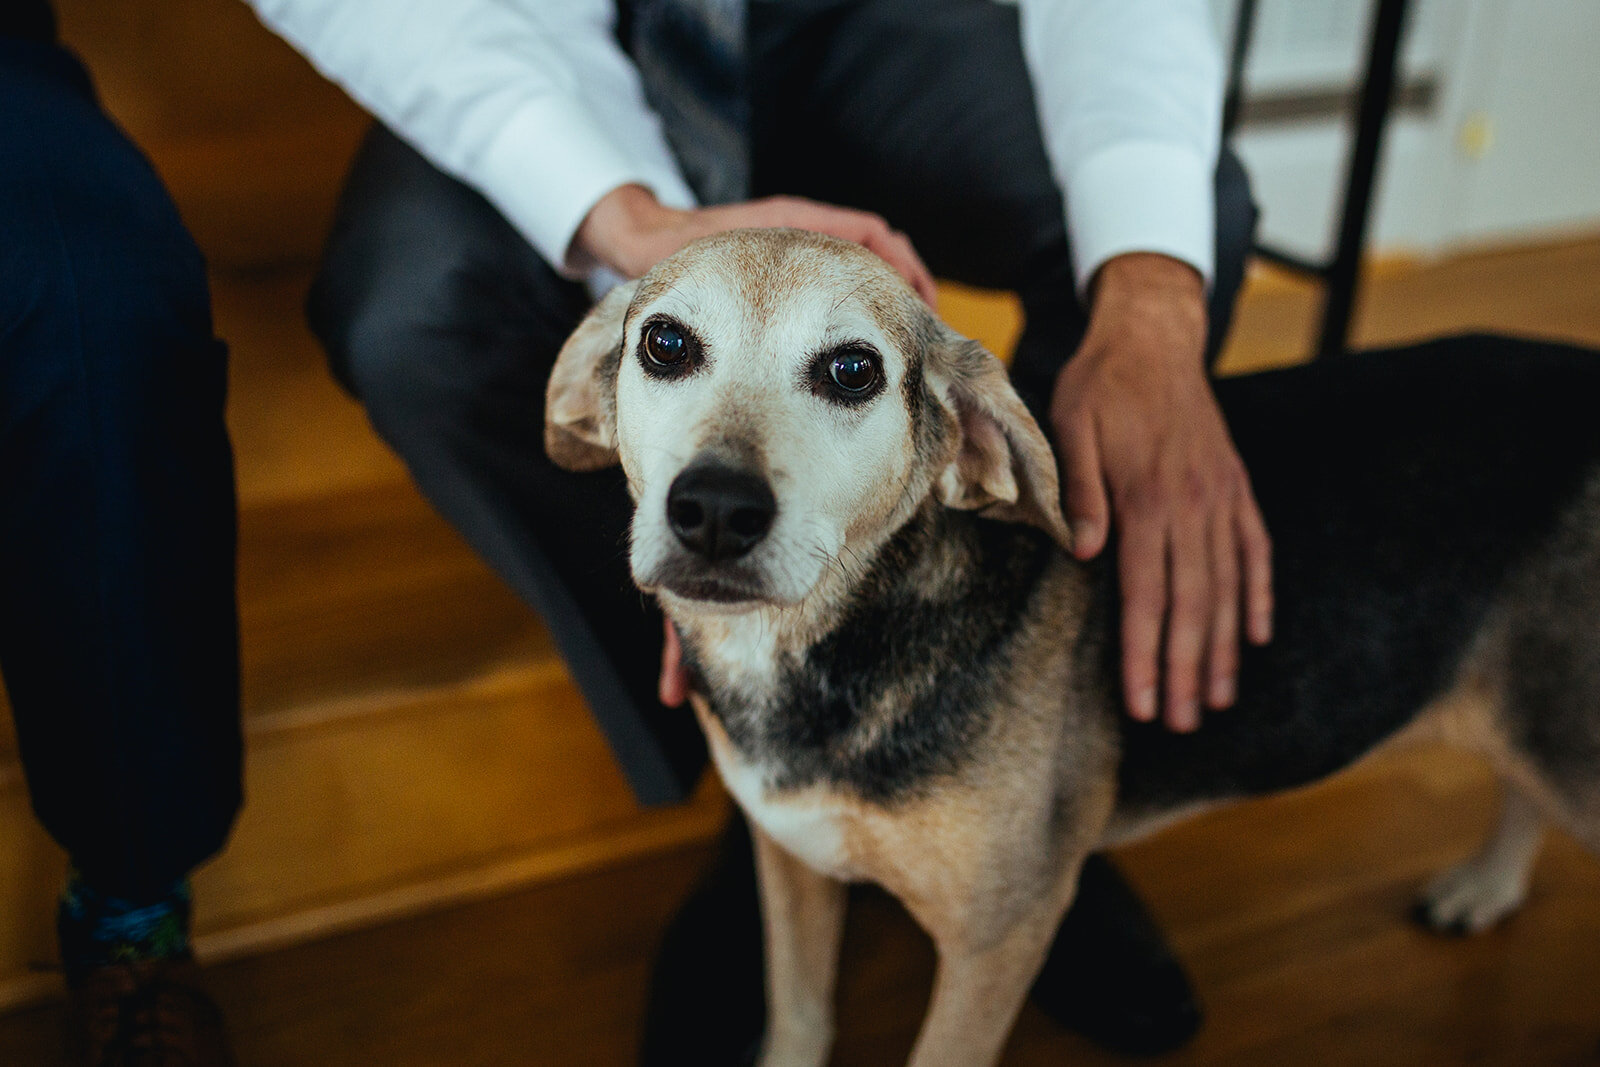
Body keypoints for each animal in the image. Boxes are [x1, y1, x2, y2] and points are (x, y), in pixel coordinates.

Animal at [547, 230, 1600, 1062]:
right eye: (665, 343)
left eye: (853, 370)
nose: (715, 509)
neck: (827, 642)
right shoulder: (792, 862)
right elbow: (800, 1017)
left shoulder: (994, 941)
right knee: (1522, 782)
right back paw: (1488, 886)